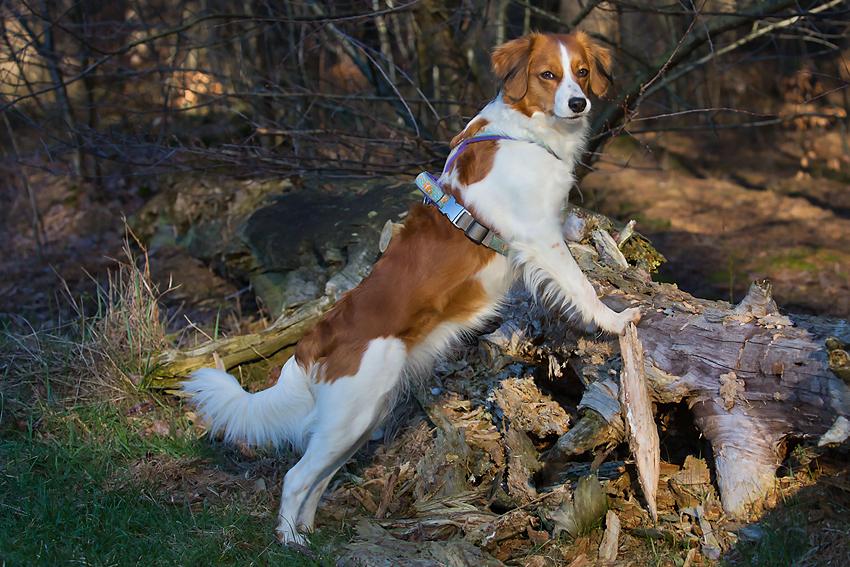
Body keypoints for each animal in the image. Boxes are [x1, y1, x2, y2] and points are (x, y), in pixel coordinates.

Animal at [182, 32, 640, 544]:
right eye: (548, 75)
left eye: (581, 72)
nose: (579, 103)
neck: (527, 133)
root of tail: (313, 339)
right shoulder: (538, 237)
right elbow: (582, 286)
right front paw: (615, 319)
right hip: (352, 416)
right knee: (296, 477)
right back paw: (289, 541)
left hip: (361, 419)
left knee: (319, 477)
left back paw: (308, 533)